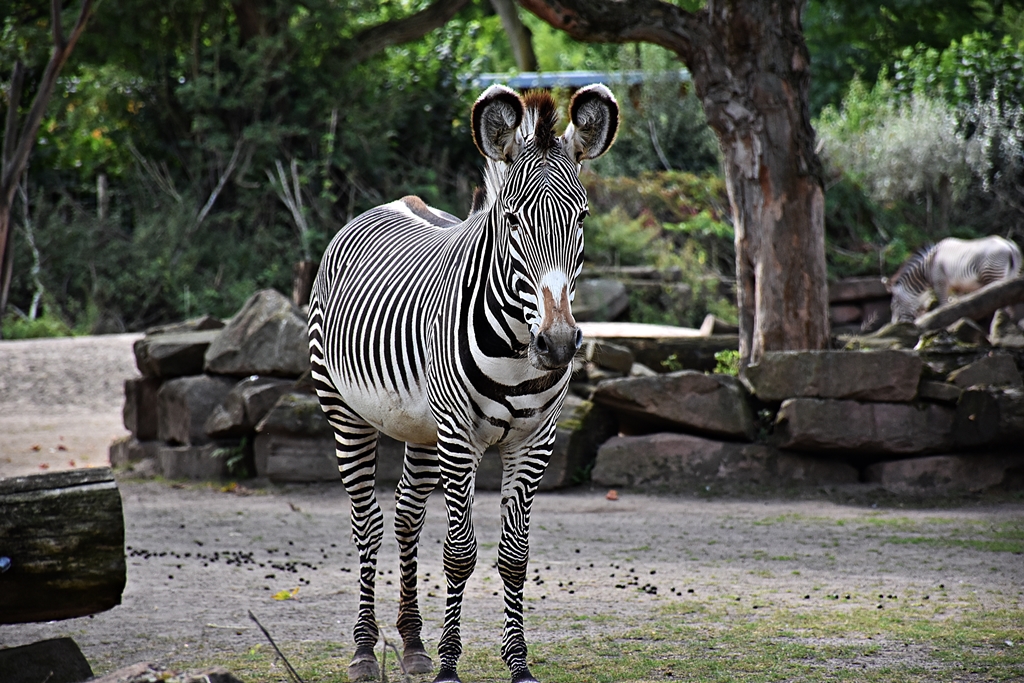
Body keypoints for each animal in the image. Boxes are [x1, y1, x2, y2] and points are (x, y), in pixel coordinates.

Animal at [307, 84, 619, 683]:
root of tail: (397, 201)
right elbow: (459, 553)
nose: (559, 345)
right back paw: (364, 651)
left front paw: (517, 663)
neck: (518, 349)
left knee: (406, 516)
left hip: (421, 429)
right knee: (368, 523)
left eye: (582, 218)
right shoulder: (459, 436)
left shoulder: (534, 441)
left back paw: (411, 644)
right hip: (346, 413)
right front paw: (451, 665)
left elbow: (513, 557)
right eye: (513, 221)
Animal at [889, 236, 1023, 323]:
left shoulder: (940, 283)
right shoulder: (958, 287)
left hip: (993, 275)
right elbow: (958, 305)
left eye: (894, 305)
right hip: (1010, 278)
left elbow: (944, 305)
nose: (894, 325)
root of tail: (1009, 245)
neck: (927, 268)